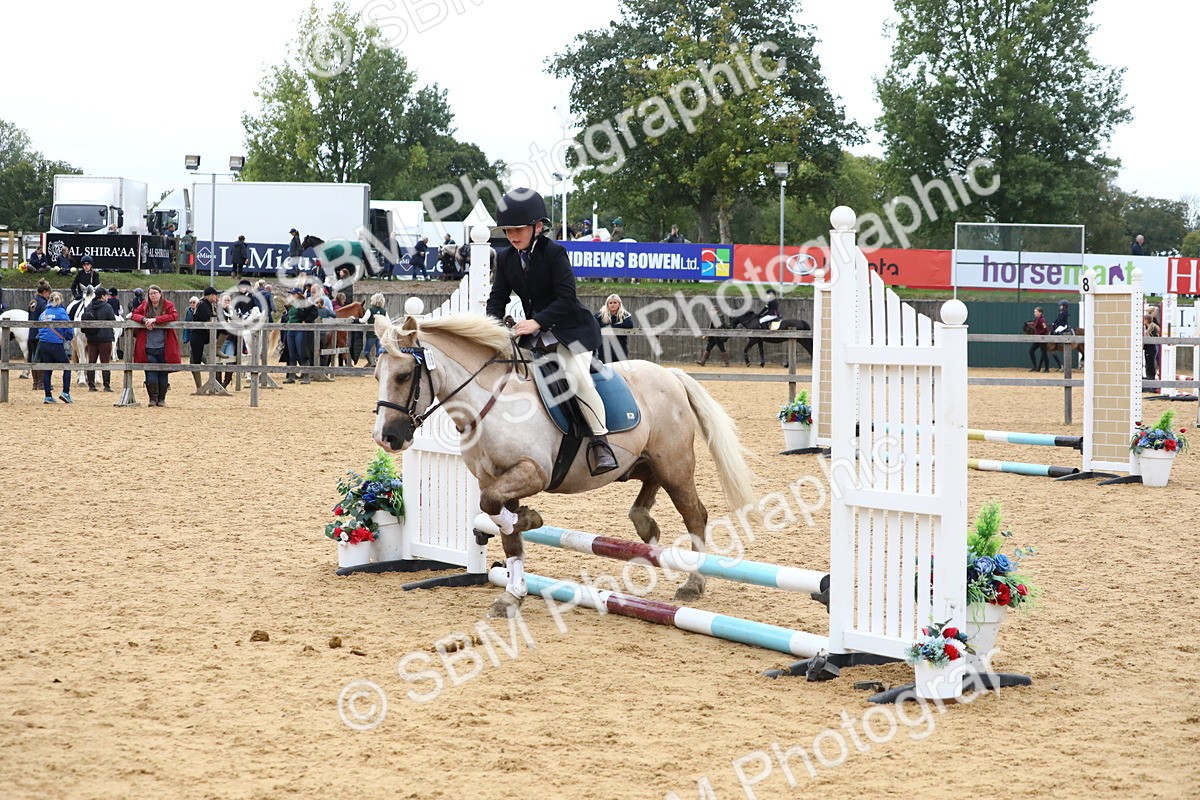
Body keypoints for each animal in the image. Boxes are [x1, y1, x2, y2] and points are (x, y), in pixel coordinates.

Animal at [371, 312, 757, 619]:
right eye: (377, 375)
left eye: (404, 375)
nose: (386, 438)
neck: (490, 403)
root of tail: (671, 375)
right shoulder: (492, 477)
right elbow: (505, 530)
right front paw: (512, 595)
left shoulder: (533, 472)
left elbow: (493, 508)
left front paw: (530, 519)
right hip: (646, 462)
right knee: (648, 494)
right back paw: (647, 528)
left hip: (674, 464)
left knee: (695, 515)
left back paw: (694, 582)